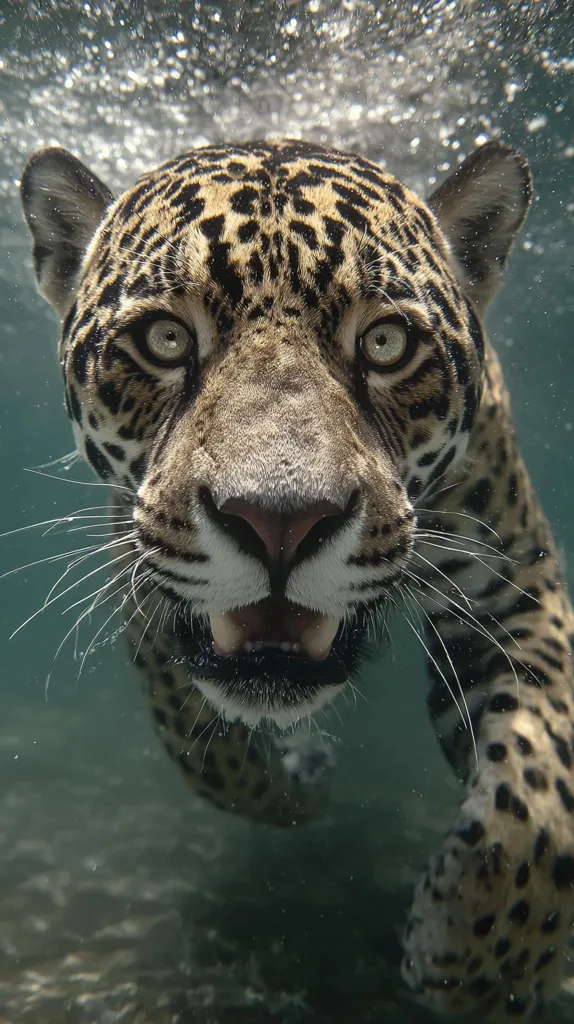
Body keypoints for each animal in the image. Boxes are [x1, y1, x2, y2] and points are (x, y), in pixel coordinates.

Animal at [20, 136, 574, 1021]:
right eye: (165, 339)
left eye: (386, 343)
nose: (280, 521)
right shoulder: (145, 584)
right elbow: (206, 752)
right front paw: (297, 784)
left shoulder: (513, 582)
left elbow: (540, 786)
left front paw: (476, 960)